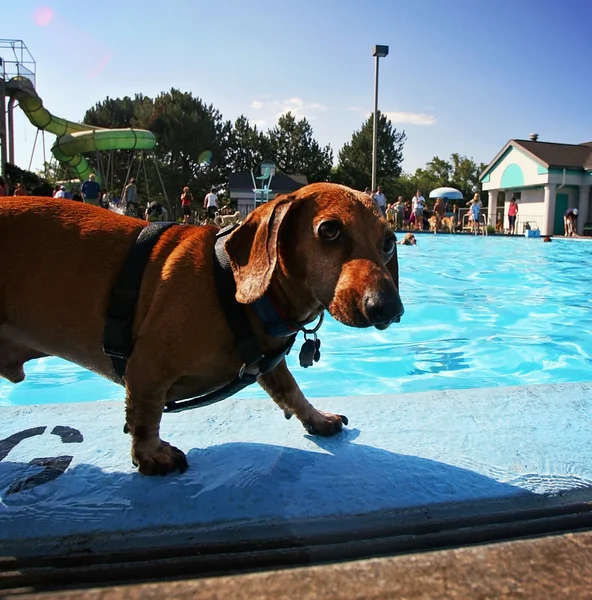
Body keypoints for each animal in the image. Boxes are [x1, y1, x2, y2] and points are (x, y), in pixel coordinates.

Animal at [0, 185, 402, 476]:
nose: (390, 309)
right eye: (329, 230)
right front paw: (151, 454)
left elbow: (291, 392)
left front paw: (317, 418)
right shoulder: (146, 368)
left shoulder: (269, 365)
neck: (230, 287)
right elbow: (146, 415)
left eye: (388, 241)